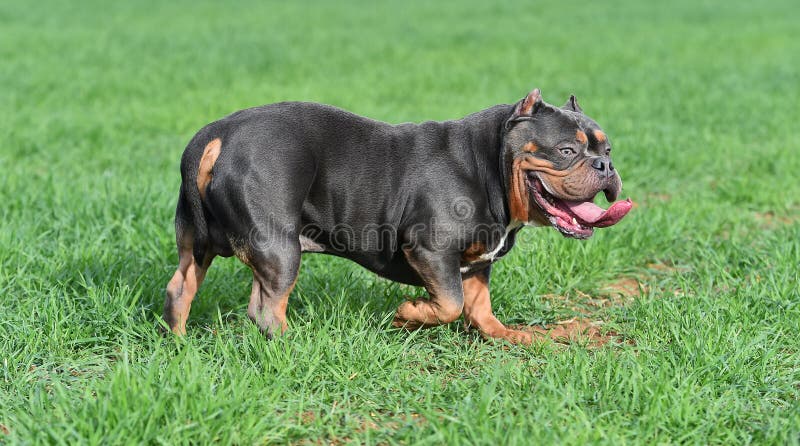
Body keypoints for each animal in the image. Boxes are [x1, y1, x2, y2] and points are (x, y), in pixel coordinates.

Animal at [164, 88, 632, 344]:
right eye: (567, 151)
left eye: (607, 148)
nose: (605, 166)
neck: (490, 162)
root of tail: (217, 135)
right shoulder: (431, 250)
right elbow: (450, 303)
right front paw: (408, 315)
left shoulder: (477, 262)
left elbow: (478, 305)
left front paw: (503, 334)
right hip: (279, 248)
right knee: (266, 308)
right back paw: (293, 344)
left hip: (197, 243)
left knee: (181, 288)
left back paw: (178, 345)